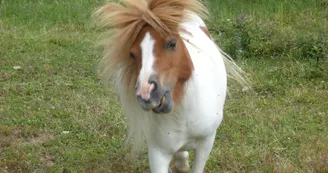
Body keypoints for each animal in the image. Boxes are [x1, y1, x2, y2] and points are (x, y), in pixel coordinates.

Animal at [92, 0, 246, 172]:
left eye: (172, 43)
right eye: (132, 54)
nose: (146, 93)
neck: (185, 114)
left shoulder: (206, 143)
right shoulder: (158, 153)